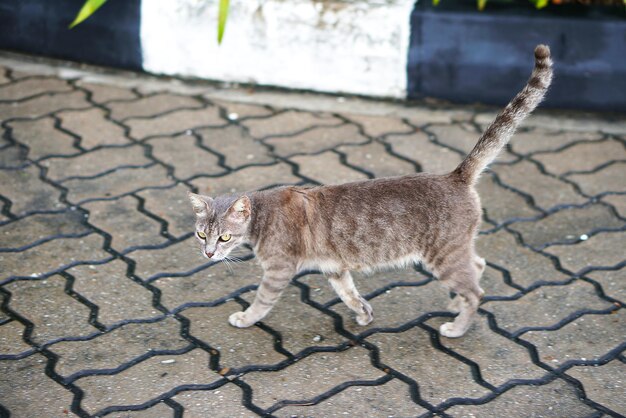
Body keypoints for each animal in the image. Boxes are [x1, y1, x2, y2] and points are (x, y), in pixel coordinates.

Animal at [186, 45, 552, 340]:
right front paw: (363, 312)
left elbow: (262, 301)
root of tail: (455, 176)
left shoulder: (278, 271)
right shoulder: (335, 267)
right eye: (202, 234)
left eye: (224, 238)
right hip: (455, 251)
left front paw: (246, 317)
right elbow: (349, 294)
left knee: (477, 290)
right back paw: (456, 302)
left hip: (443, 255)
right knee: (477, 266)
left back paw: (458, 325)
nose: (207, 254)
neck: (263, 216)